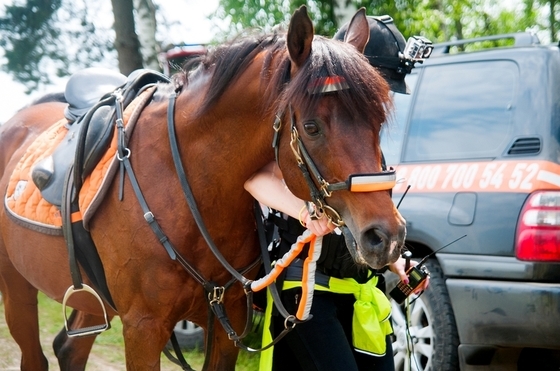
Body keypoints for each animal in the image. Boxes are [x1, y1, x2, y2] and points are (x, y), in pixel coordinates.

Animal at [0, 6, 402, 371]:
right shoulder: (143, 328)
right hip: (17, 288)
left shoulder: (228, 325)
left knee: (69, 349)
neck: (190, 191)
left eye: (378, 122)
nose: (386, 236)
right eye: (312, 127)